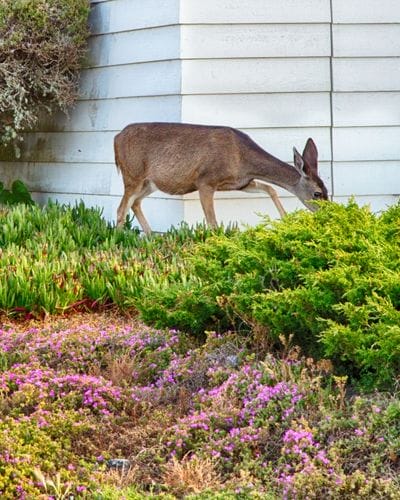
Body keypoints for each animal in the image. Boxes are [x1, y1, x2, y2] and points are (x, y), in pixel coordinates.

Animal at [113, 122, 328, 233]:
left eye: (327, 190)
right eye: (317, 193)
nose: (328, 212)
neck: (242, 159)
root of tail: (116, 138)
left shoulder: (242, 183)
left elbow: (271, 188)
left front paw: (285, 219)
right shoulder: (205, 180)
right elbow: (212, 222)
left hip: (149, 182)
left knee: (135, 203)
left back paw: (151, 237)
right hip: (133, 174)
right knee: (121, 208)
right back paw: (120, 240)